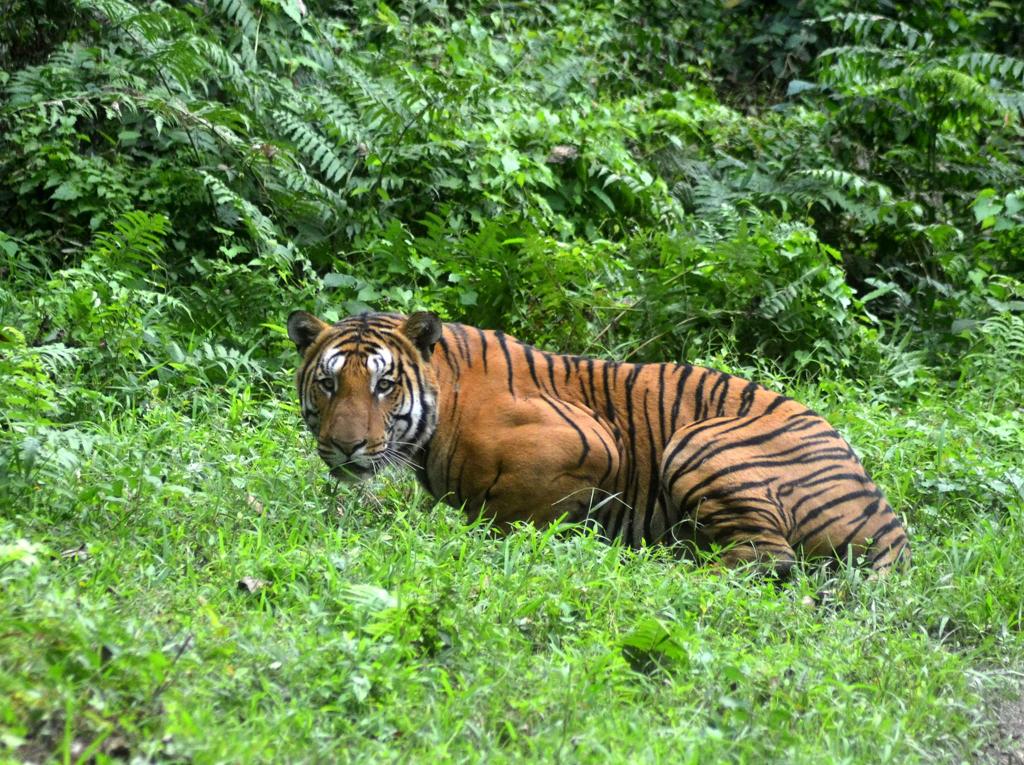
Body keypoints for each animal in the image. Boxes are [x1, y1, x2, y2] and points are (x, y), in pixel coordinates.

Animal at [286, 309, 910, 576]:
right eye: (329, 382)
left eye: (384, 385)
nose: (345, 446)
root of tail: (889, 522)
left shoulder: (591, 442)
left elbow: (512, 513)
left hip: (699, 441)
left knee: (766, 560)